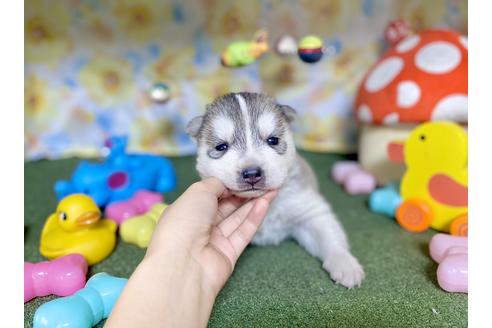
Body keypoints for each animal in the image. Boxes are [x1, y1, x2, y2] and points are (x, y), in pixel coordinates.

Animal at [186, 91, 364, 288]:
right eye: (221, 146)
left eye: (273, 140)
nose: (251, 173)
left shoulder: (309, 211)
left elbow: (329, 236)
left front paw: (345, 264)